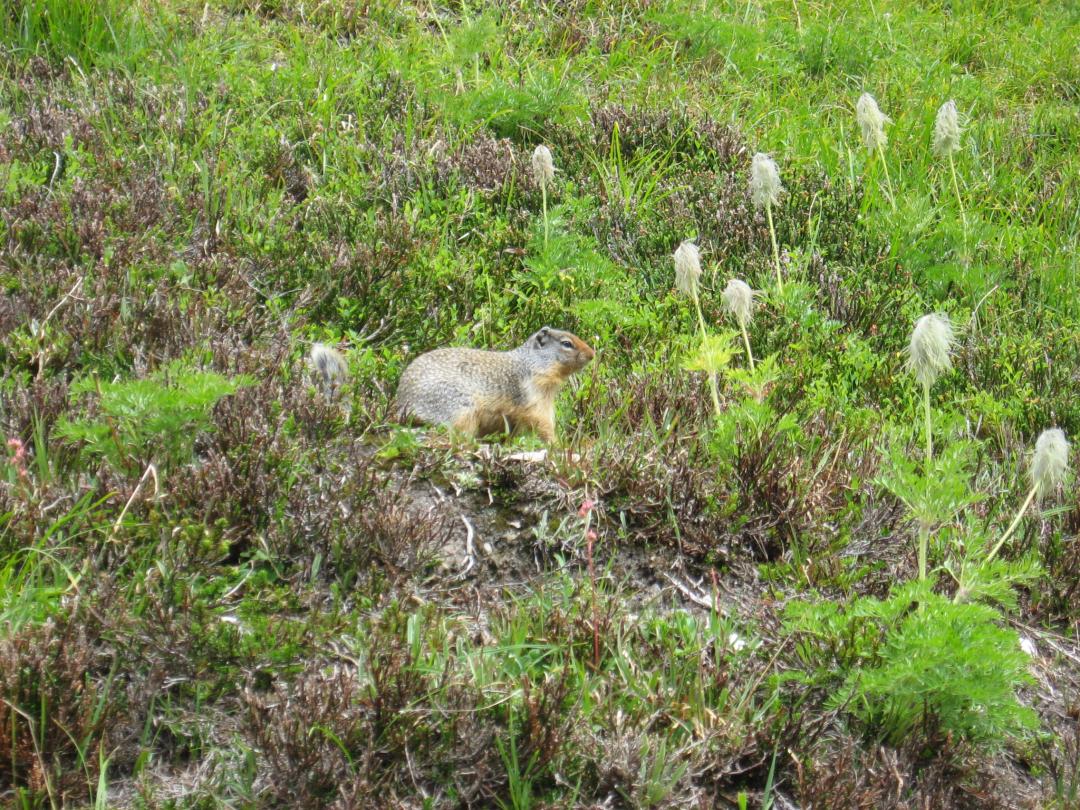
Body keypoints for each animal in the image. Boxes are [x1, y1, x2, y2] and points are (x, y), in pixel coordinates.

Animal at [395, 326, 595, 442]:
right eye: (567, 343)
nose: (592, 354)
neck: (531, 362)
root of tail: (400, 404)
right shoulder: (535, 394)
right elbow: (542, 420)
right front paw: (556, 445)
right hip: (459, 406)